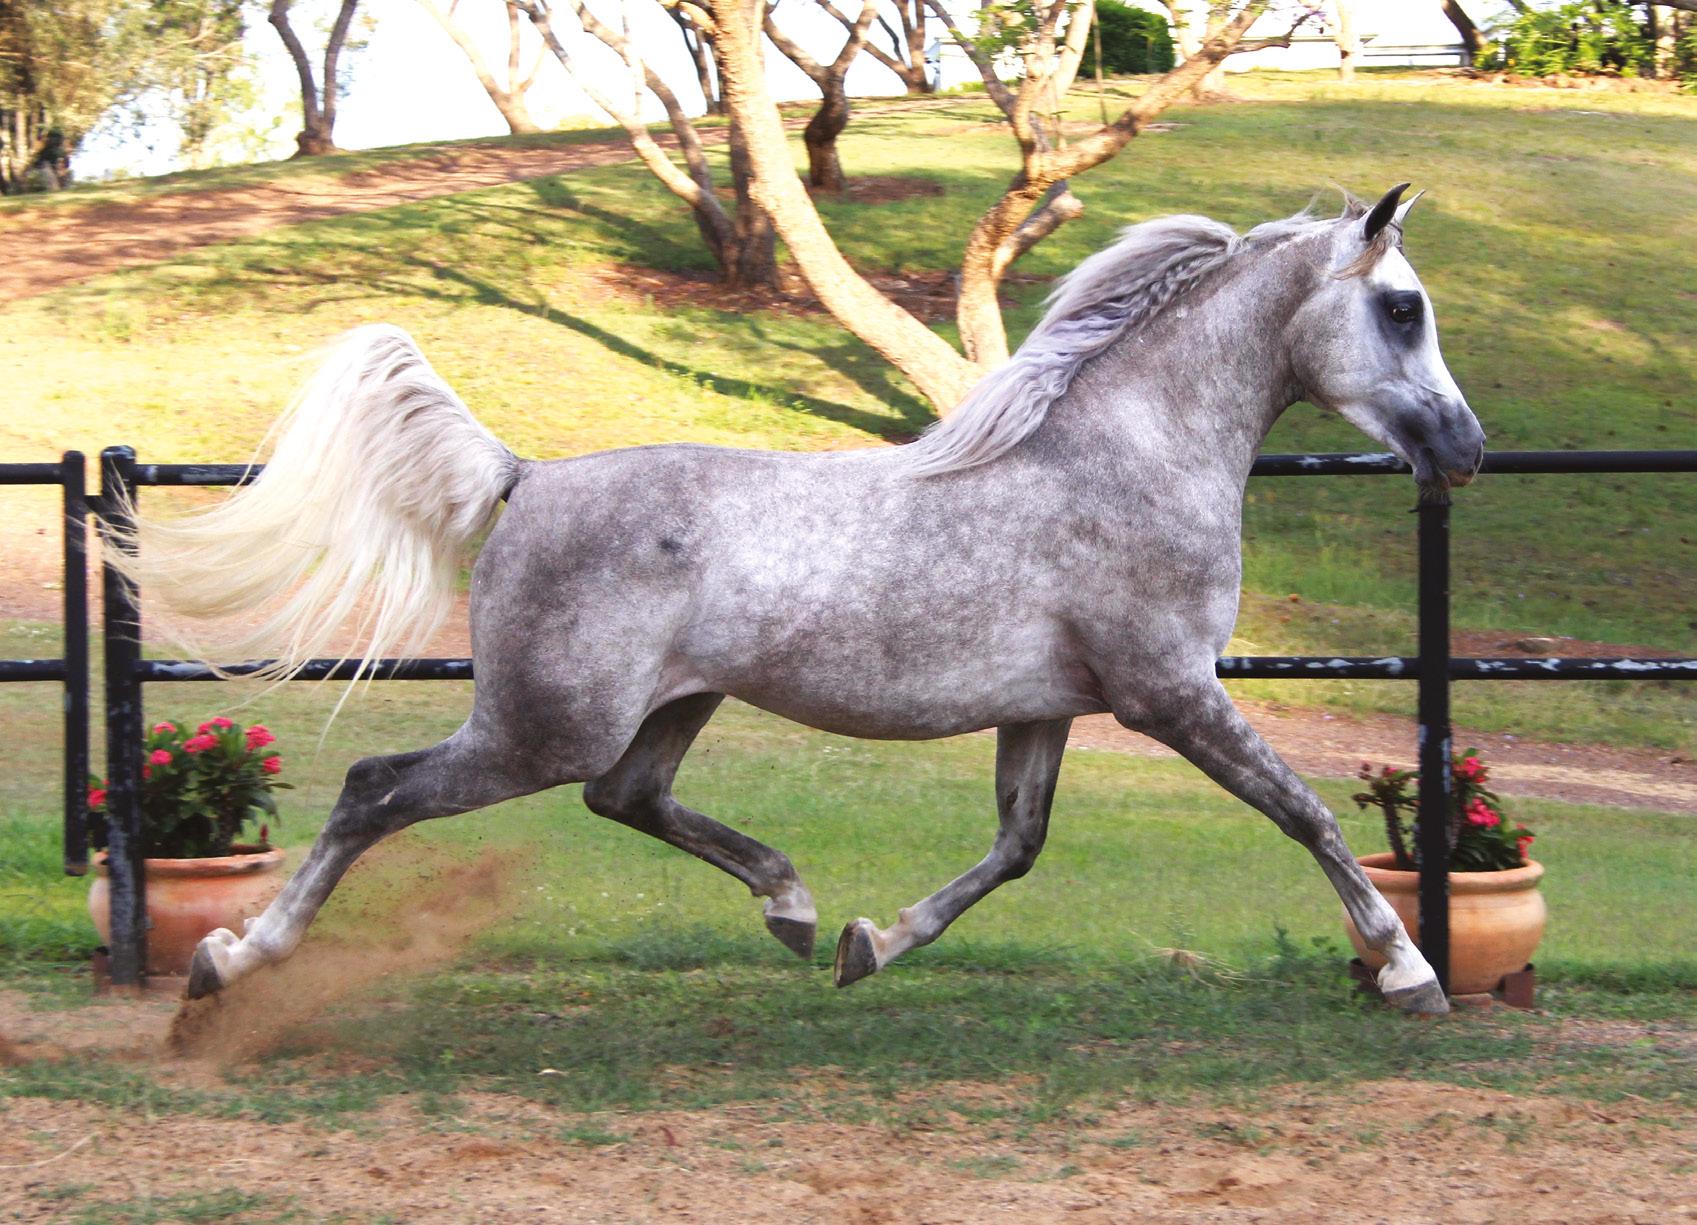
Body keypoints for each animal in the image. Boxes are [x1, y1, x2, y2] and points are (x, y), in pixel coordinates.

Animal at [119, 184, 1484, 1014]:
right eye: (1400, 306)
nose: (1464, 448)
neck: (1120, 455)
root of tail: (524, 476)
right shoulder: (1167, 693)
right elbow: (1307, 813)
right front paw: (1409, 970)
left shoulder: (1048, 706)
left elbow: (1016, 845)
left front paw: (869, 943)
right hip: (539, 728)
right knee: (374, 790)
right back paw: (228, 961)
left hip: (664, 709)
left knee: (627, 797)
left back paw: (791, 903)